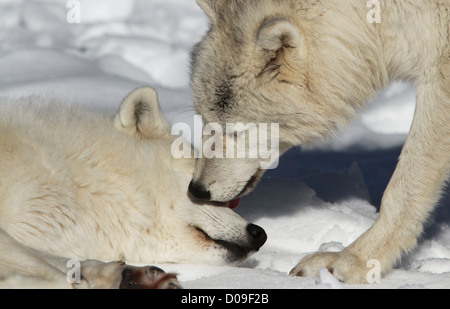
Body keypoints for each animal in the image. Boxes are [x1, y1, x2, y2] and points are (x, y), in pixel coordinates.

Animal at [190, 0, 450, 282]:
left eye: (236, 131)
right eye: (205, 120)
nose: (195, 190)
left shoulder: (440, 77)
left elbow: (400, 192)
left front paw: (352, 262)